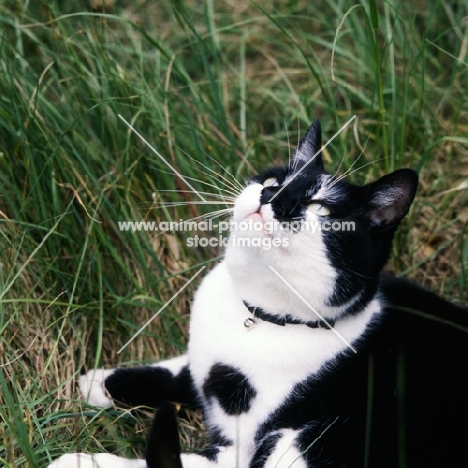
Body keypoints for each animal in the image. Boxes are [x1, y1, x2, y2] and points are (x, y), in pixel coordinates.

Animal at [47, 121, 468, 468]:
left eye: (321, 207)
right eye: (273, 180)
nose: (271, 197)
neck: (257, 313)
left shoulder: (236, 450)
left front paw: (81, 461)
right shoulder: (200, 361)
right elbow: (174, 371)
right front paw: (98, 382)